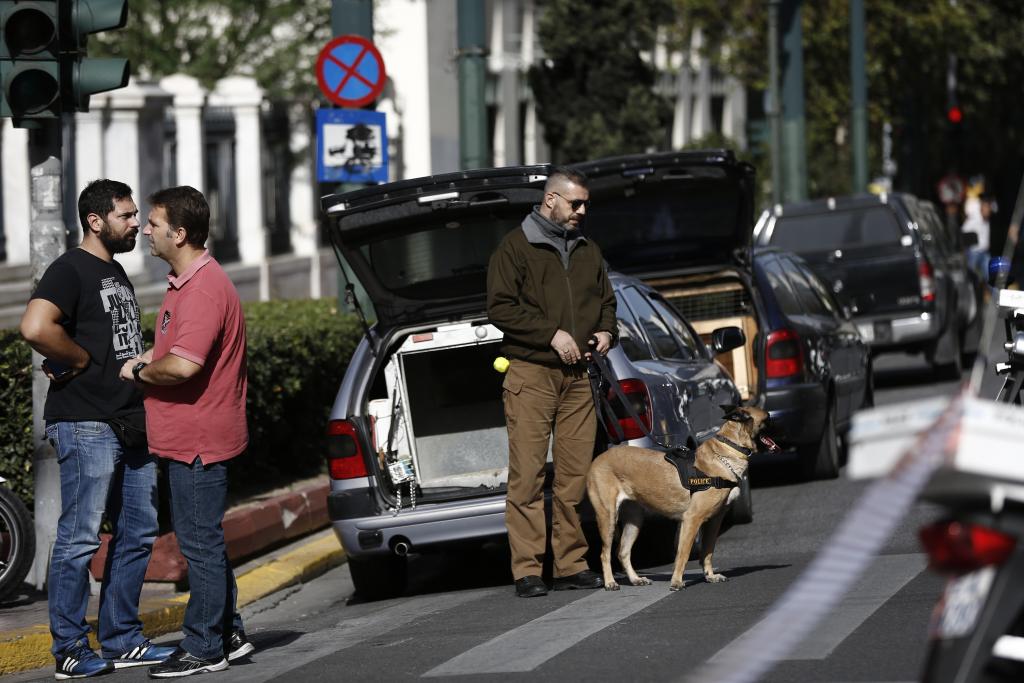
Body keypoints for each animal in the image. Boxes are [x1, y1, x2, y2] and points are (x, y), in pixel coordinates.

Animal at [585, 405, 774, 593]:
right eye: (767, 418)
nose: (778, 417)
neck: (727, 451)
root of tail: (599, 458)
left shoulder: (714, 521)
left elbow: (708, 551)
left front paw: (710, 576)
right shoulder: (691, 519)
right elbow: (683, 554)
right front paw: (676, 581)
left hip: (635, 520)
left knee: (622, 551)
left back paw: (635, 579)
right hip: (608, 517)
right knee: (605, 553)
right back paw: (610, 582)